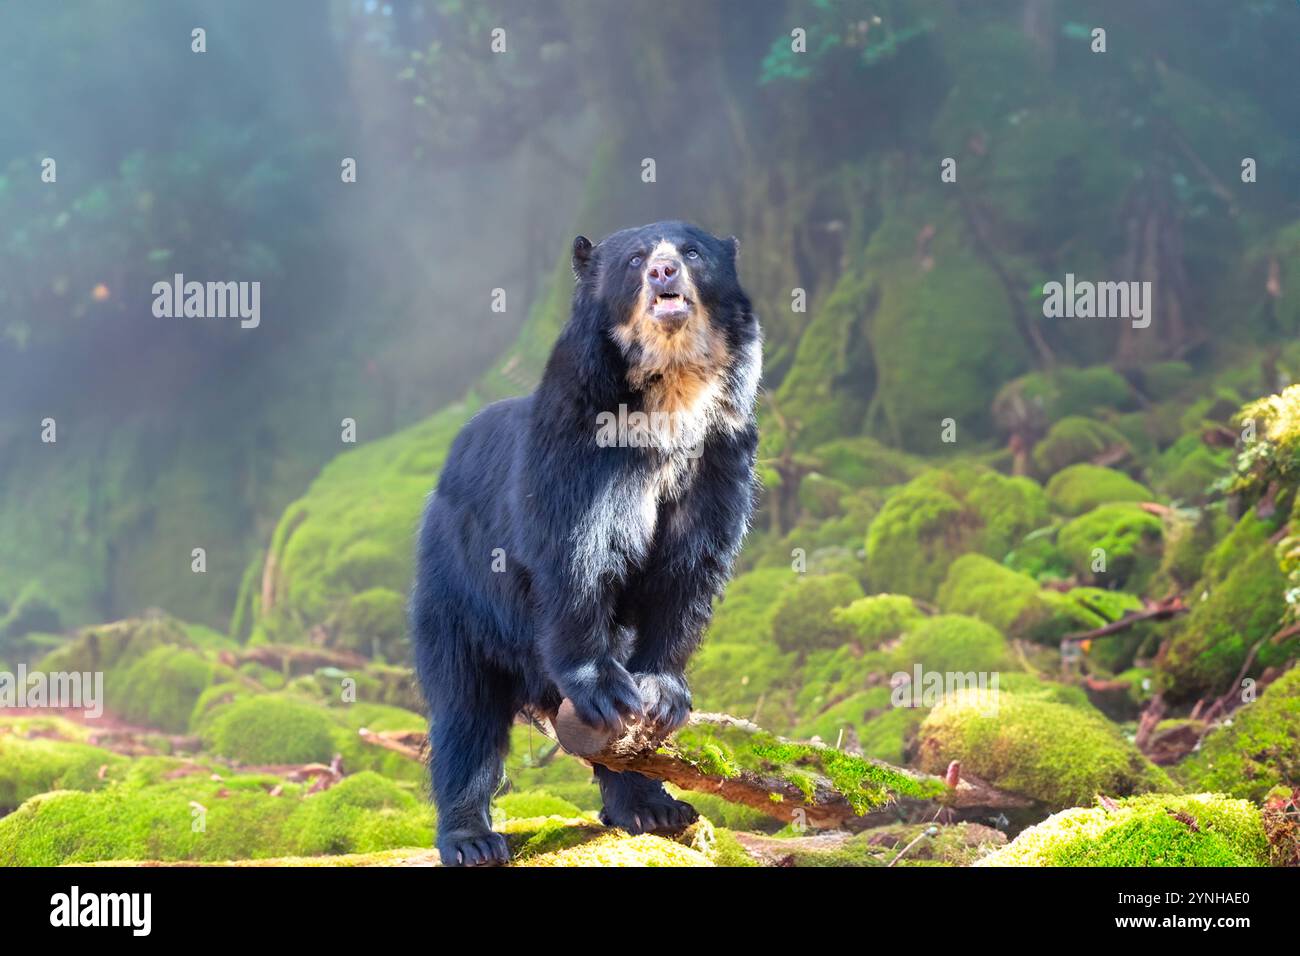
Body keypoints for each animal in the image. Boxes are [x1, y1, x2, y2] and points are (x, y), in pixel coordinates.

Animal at [409, 220, 761, 866]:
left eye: (693, 252)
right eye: (635, 259)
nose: (665, 271)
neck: (670, 400)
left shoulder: (720, 457)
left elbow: (691, 571)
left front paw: (662, 694)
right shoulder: (576, 451)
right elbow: (575, 558)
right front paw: (604, 690)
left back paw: (652, 806)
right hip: (457, 592)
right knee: (465, 713)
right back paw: (472, 839)